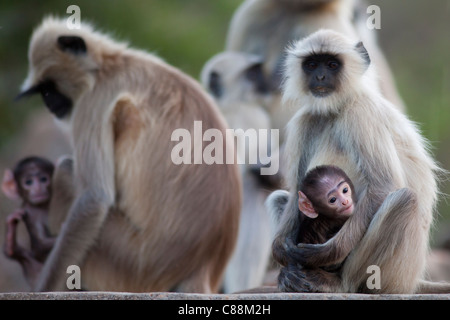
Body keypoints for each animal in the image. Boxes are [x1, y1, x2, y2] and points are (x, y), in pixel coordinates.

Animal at [17, 16, 243, 292]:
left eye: (49, 87)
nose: (49, 102)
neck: (109, 65)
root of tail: (204, 265)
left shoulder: (93, 101)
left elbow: (94, 199)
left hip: (133, 262)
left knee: (66, 169)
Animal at [268, 28, 448, 294]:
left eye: (332, 64)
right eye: (311, 64)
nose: (320, 76)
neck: (335, 109)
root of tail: (413, 280)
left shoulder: (361, 112)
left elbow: (383, 185)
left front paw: (323, 254)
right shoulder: (306, 120)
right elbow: (295, 193)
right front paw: (282, 252)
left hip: (394, 275)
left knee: (403, 199)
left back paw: (336, 282)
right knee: (277, 198)